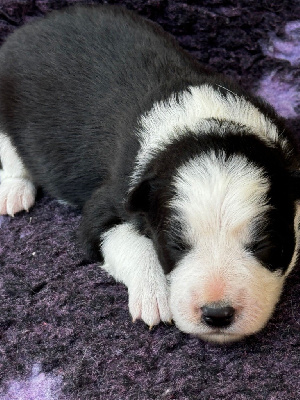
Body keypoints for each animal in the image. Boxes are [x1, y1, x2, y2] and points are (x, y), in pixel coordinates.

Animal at [0, 4, 300, 342]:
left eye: (263, 244)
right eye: (176, 245)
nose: (217, 314)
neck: (204, 121)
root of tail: (35, 25)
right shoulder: (110, 202)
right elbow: (125, 240)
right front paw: (154, 295)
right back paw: (14, 191)